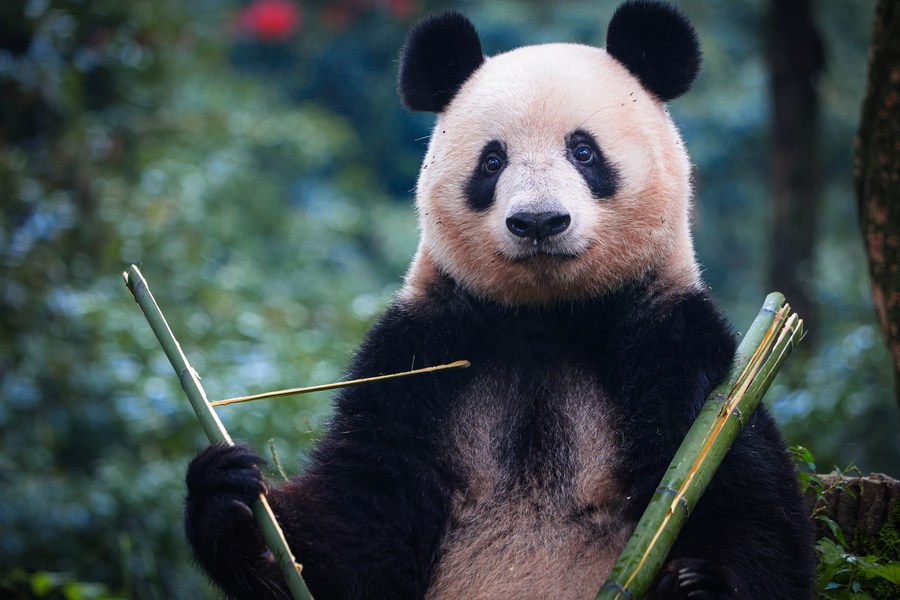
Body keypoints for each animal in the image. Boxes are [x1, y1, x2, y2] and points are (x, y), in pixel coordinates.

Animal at [184, 2, 814, 599]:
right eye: (492, 161)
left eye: (583, 152)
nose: (538, 221)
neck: (548, 317)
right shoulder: (418, 350)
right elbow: (359, 523)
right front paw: (230, 504)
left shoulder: (674, 340)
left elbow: (737, 492)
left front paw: (700, 583)